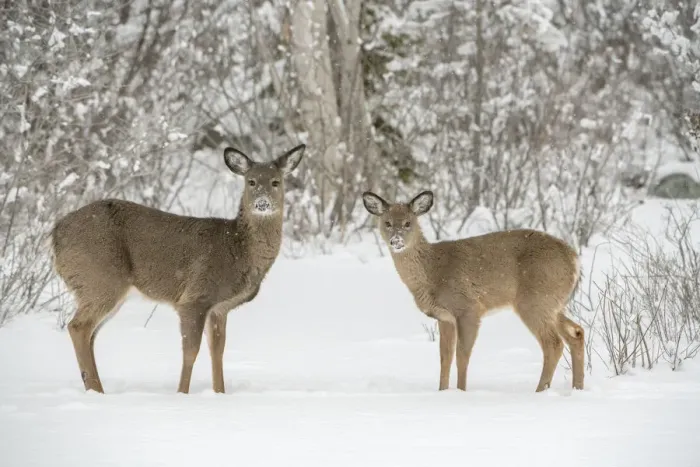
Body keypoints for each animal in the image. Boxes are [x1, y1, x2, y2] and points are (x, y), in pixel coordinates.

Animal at [48, 144, 306, 394]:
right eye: (251, 181)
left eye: (276, 182)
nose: (262, 203)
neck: (237, 248)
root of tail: (55, 234)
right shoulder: (195, 297)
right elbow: (191, 352)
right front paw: (182, 395)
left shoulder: (219, 308)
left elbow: (217, 352)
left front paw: (219, 394)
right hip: (100, 279)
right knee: (78, 327)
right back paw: (96, 392)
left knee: (90, 335)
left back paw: (95, 389)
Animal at [361, 189, 585, 393]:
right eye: (387, 223)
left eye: (408, 223)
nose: (396, 242)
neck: (432, 272)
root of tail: (574, 259)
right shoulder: (444, 317)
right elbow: (445, 357)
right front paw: (442, 391)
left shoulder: (468, 308)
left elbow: (462, 355)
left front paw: (461, 392)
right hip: (553, 304)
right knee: (576, 333)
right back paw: (577, 388)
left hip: (535, 300)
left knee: (553, 344)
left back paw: (540, 391)